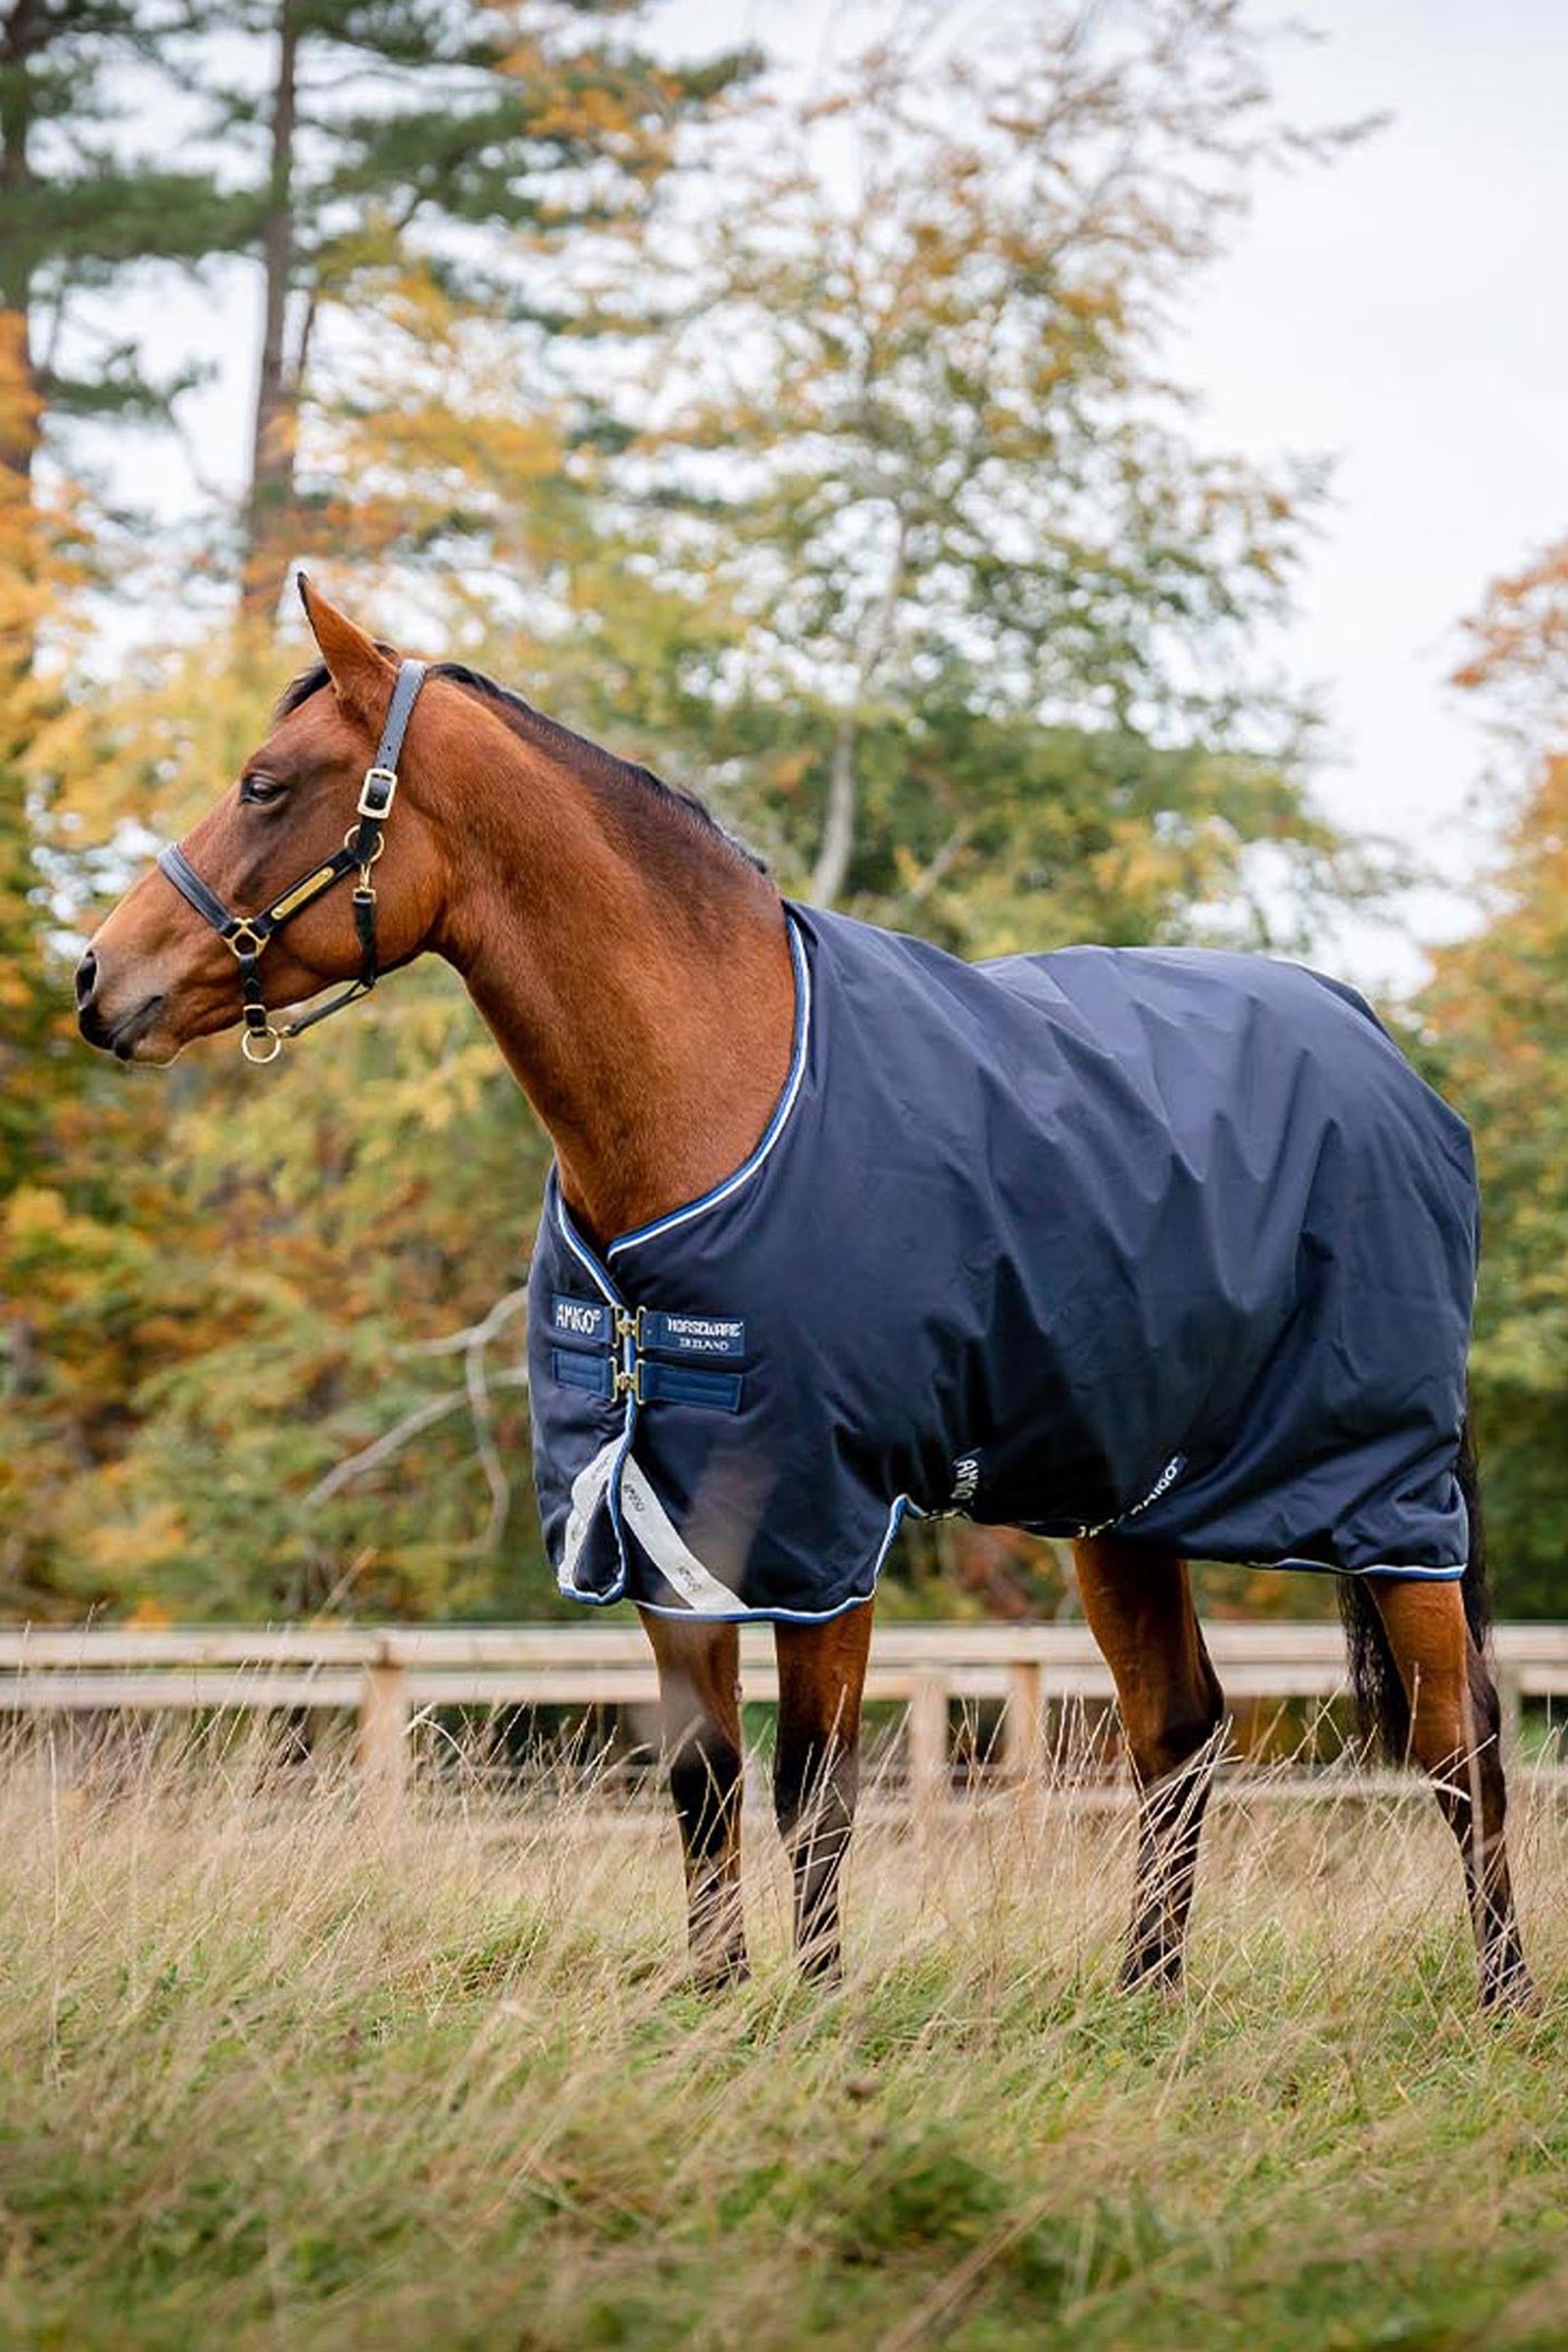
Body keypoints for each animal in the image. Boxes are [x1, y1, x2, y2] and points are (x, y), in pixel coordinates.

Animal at [76, 578, 1532, 2007]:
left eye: (266, 784)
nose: (97, 979)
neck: (720, 1090)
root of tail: (1387, 1059)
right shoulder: (657, 1509)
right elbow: (704, 1780)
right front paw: (720, 2000)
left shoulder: (821, 1519)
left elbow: (813, 1782)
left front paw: (821, 2006)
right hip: (1122, 1500)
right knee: (1177, 1729)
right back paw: (1145, 1998)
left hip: (1386, 1495)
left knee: (1460, 1737)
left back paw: (1500, 1997)